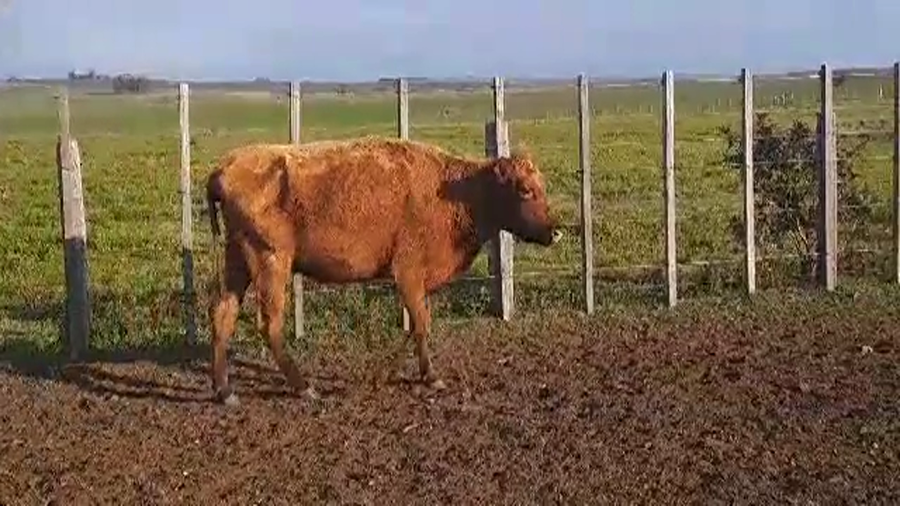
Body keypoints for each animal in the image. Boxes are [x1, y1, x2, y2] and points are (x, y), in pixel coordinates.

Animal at [204, 136, 561, 406]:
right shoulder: (408, 272)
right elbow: (421, 322)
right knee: (270, 323)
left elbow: (417, 323)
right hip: (270, 262)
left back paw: (225, 392)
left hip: (238, 260)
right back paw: (304, 387)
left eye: (541, 185)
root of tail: (224, 168)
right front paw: (429, 377)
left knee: (224, 313)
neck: (456, 190)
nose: (556, 232)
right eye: (525, 189)